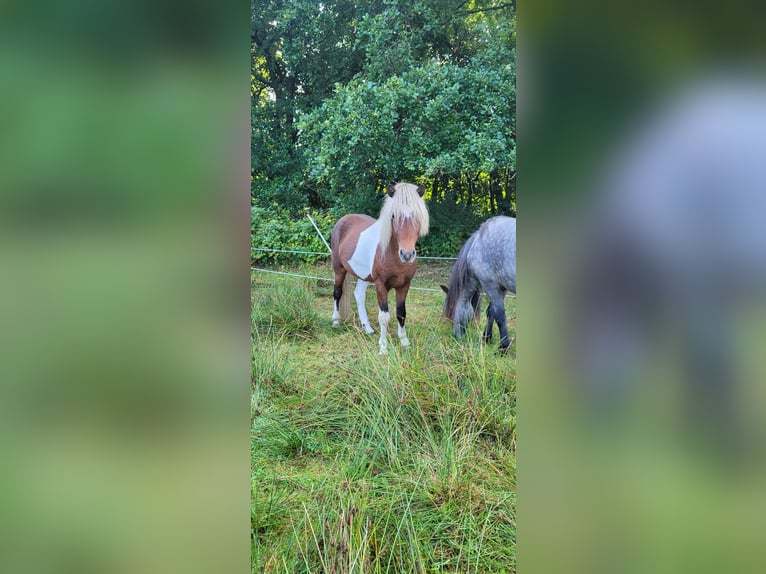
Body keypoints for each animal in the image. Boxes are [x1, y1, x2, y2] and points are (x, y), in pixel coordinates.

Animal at [330, 182, 429, 354]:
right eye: (394, 215)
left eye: (417, 216)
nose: (407, 254)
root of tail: (343, 219)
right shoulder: (380, 285)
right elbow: (384, 317)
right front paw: (383, 347)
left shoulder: (404, 285)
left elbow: (401, 313)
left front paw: (404, 342)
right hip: (339, 269)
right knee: (337, 292)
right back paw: (336, 321)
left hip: (364, 275)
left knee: (359, 295)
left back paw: (367, 328)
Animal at [441, 216, 516, 351]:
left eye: (451, 312)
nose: (456, 336)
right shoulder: (502, 287)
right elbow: (491, 312)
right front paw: (486, 337)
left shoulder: (490, 284)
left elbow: (499, 315)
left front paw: (503, 347)